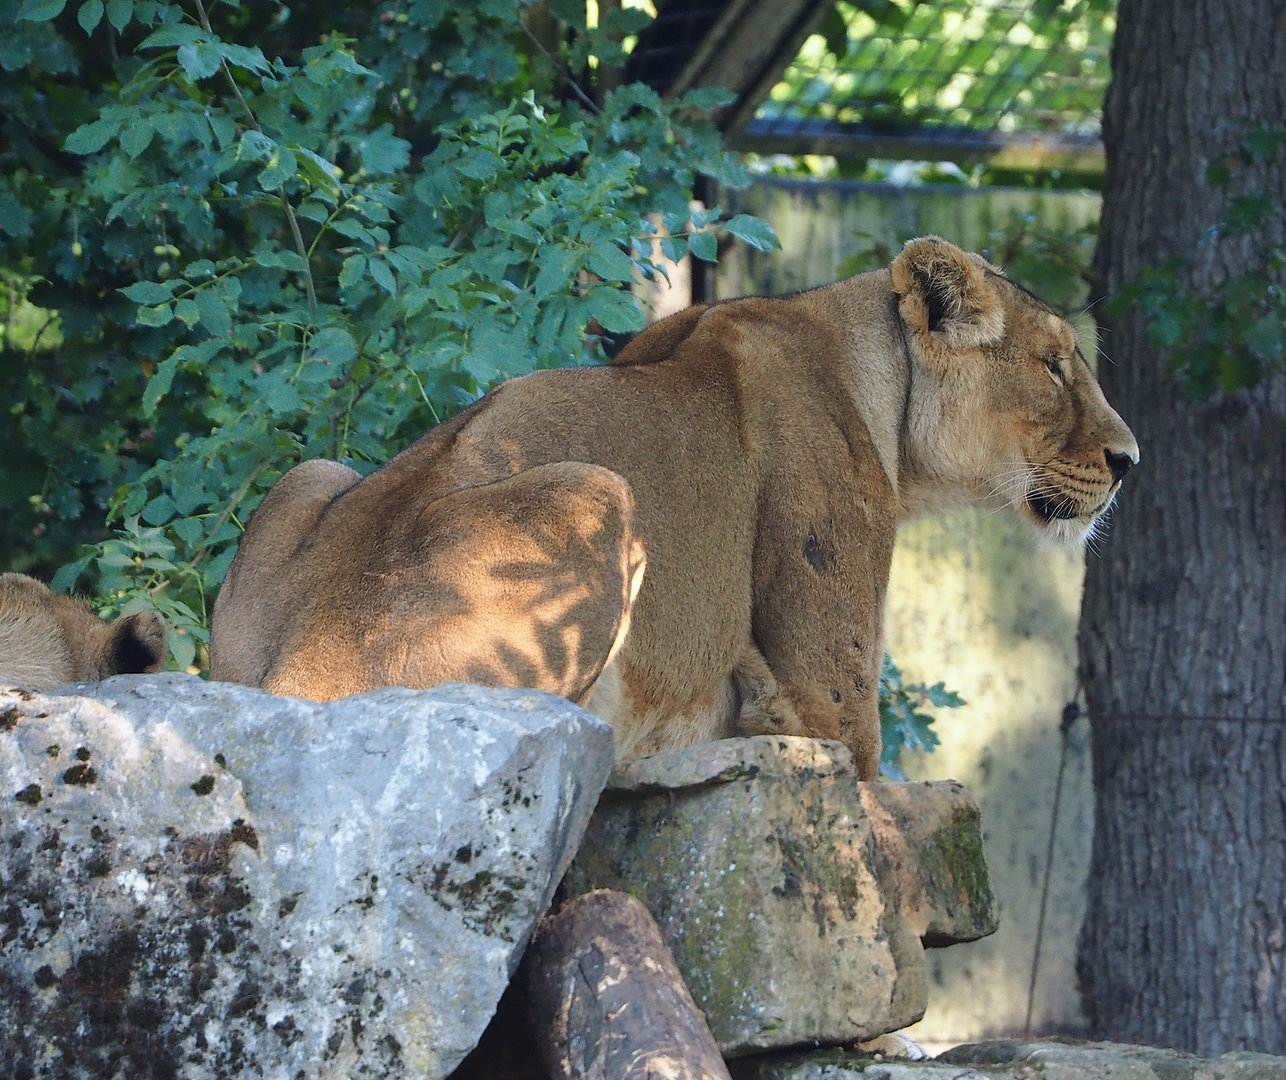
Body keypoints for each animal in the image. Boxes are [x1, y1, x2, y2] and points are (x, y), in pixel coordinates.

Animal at [210, 236, 1138, 779]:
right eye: (1055, 366)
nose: (1129, 461)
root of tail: (293, 674)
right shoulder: (828, 690)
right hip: (598, 492)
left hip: (309, 475)